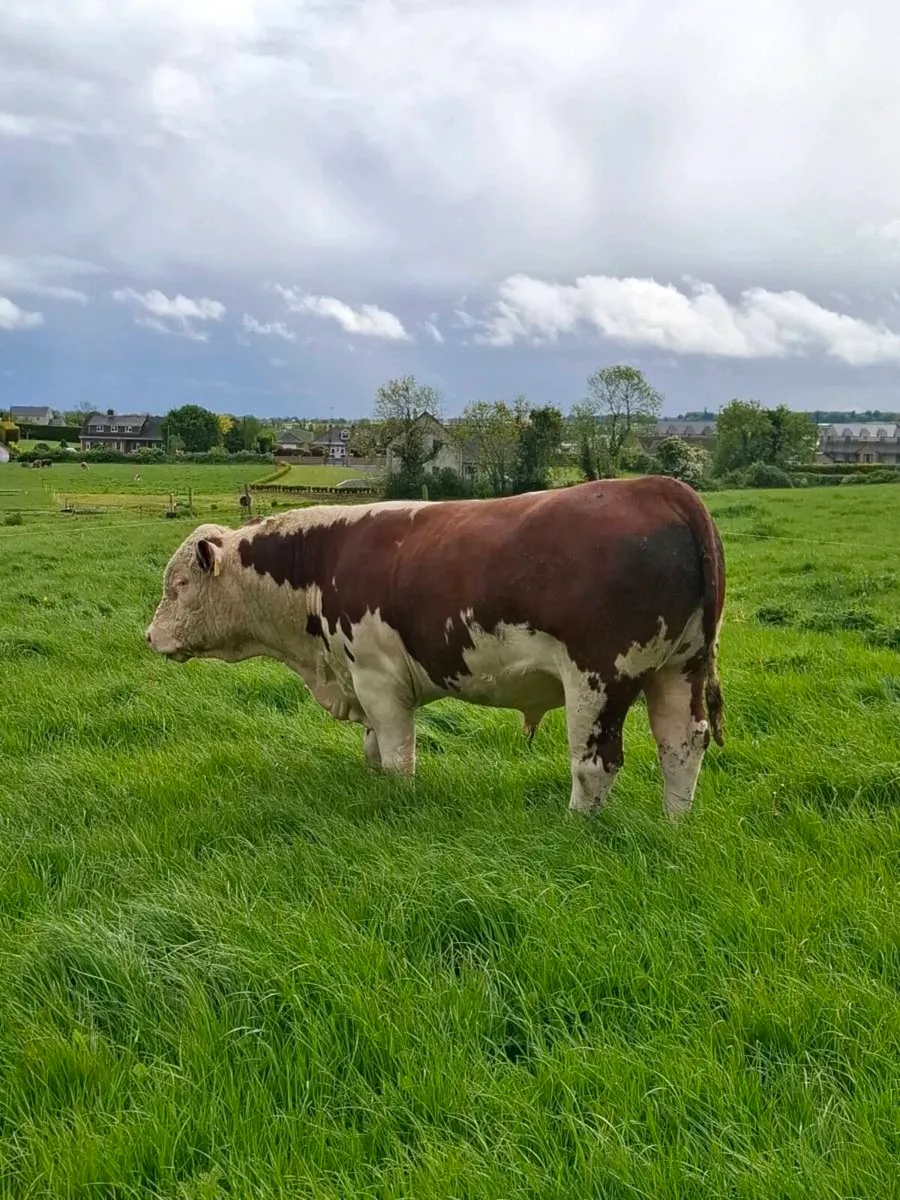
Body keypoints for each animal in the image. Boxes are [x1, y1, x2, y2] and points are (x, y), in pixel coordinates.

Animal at [146, 477, 725, 819]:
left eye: (178, 585)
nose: (149, 636)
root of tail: (662, 488)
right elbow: (374, 751)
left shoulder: (378, 679)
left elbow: (396, 755)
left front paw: (399, 803)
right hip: (680, 667)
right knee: (682, 745)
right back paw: (675, 822)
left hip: (599, 676)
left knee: (596, 762)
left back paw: (575, 828)